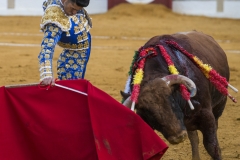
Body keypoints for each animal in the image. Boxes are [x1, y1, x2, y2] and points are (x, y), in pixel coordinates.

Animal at [121, 31, 237, 160]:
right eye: (148, 113)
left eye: (172, 101)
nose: (178, 137)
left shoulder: (207, 115)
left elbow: (212, 147)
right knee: (193, 137)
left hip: (219, 106)